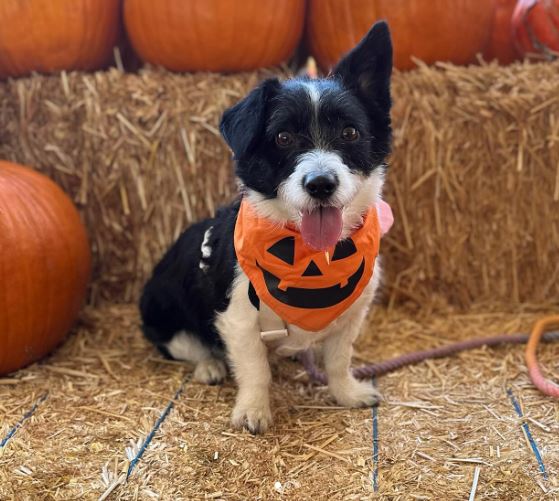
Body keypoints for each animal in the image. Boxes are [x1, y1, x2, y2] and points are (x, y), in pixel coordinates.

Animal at [140, 21, 394, 432]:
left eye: (350, 133)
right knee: (186, 346)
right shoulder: (238, 320)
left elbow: (338, 361)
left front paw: (347, 393)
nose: (320, 184)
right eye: (283, 137)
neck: (310, 253)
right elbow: (255, 369)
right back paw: (209, 365)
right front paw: (253, 410)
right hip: (163, 313)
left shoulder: (350, 318)